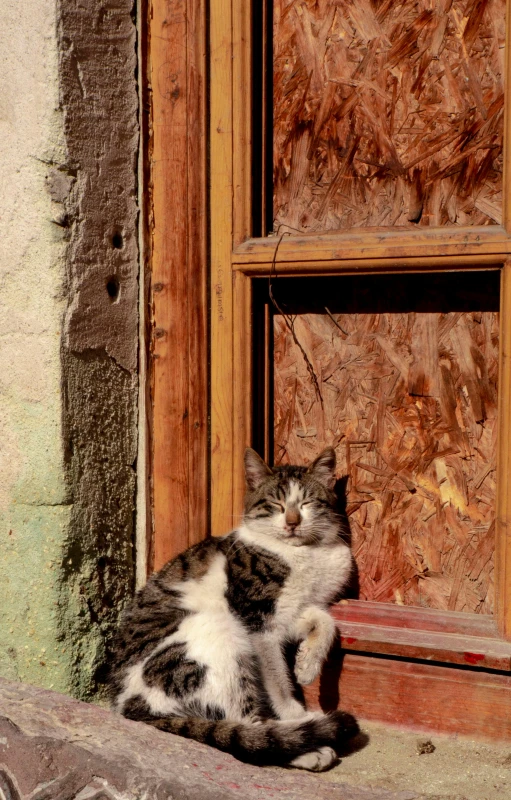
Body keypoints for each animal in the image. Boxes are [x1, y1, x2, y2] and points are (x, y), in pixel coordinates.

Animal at [111, 446, 360, 772]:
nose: (292, 522)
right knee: (246, 727)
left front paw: (307, 666)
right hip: (219, 631)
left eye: (307, 502)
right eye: (275, 504)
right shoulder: (258, 622)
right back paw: (306, 747)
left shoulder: (290, 611)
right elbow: (277, 680)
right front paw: (296, 713)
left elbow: (325, 620)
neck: (309, 553)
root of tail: (131, 707)